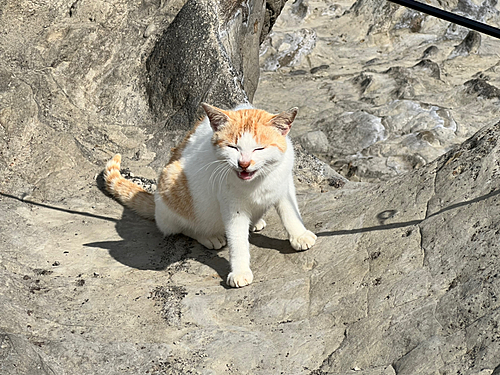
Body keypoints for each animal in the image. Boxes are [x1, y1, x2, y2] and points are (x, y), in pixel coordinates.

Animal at [104, 103, 316, 288]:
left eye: (259, 148)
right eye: (233, 147)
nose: (244, 163)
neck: (257, 182)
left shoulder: (284, 182)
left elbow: (289, 212)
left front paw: (299, 235)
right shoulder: (231, 205)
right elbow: (237, 239)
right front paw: (240, 271)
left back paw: (255, 222)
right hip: (171, 181)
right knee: (180, 227)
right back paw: (208, 236)